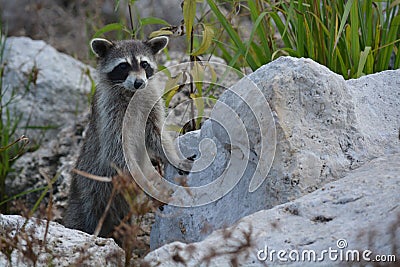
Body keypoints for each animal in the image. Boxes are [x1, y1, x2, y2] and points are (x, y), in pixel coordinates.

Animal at [63, 36, 188, 241]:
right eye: (123, 66)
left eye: (144, 64)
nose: (139, 82)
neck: (131, 93)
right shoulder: (110, 115)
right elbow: (117, 153)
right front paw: (150, 184)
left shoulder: (151, 104)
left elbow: (157, 134)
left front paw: (173, 156)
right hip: (87, 193)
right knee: (84, 217)